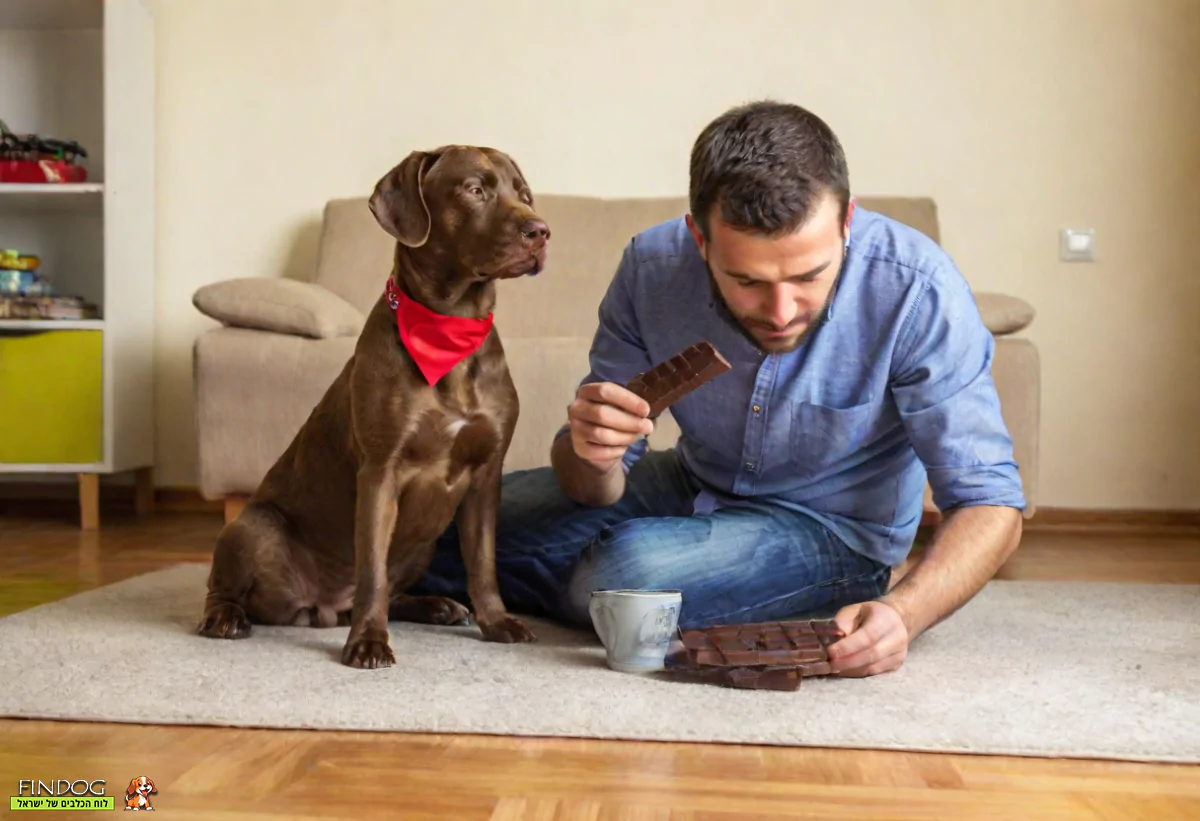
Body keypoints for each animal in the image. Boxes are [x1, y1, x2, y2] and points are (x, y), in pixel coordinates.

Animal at [196, 144, 549, 667]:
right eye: (474, 190)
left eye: (523, 194)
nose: (540, 231)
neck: (449, 329)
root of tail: (323, 606)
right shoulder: (381, 470)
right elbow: (373, 572)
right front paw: (368, 641)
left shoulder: (486, 476)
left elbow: (483, 563)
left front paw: (497, 622)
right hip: (253, 526)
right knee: (224, 583)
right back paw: (225, 617)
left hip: (424, 541)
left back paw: (437, 605)